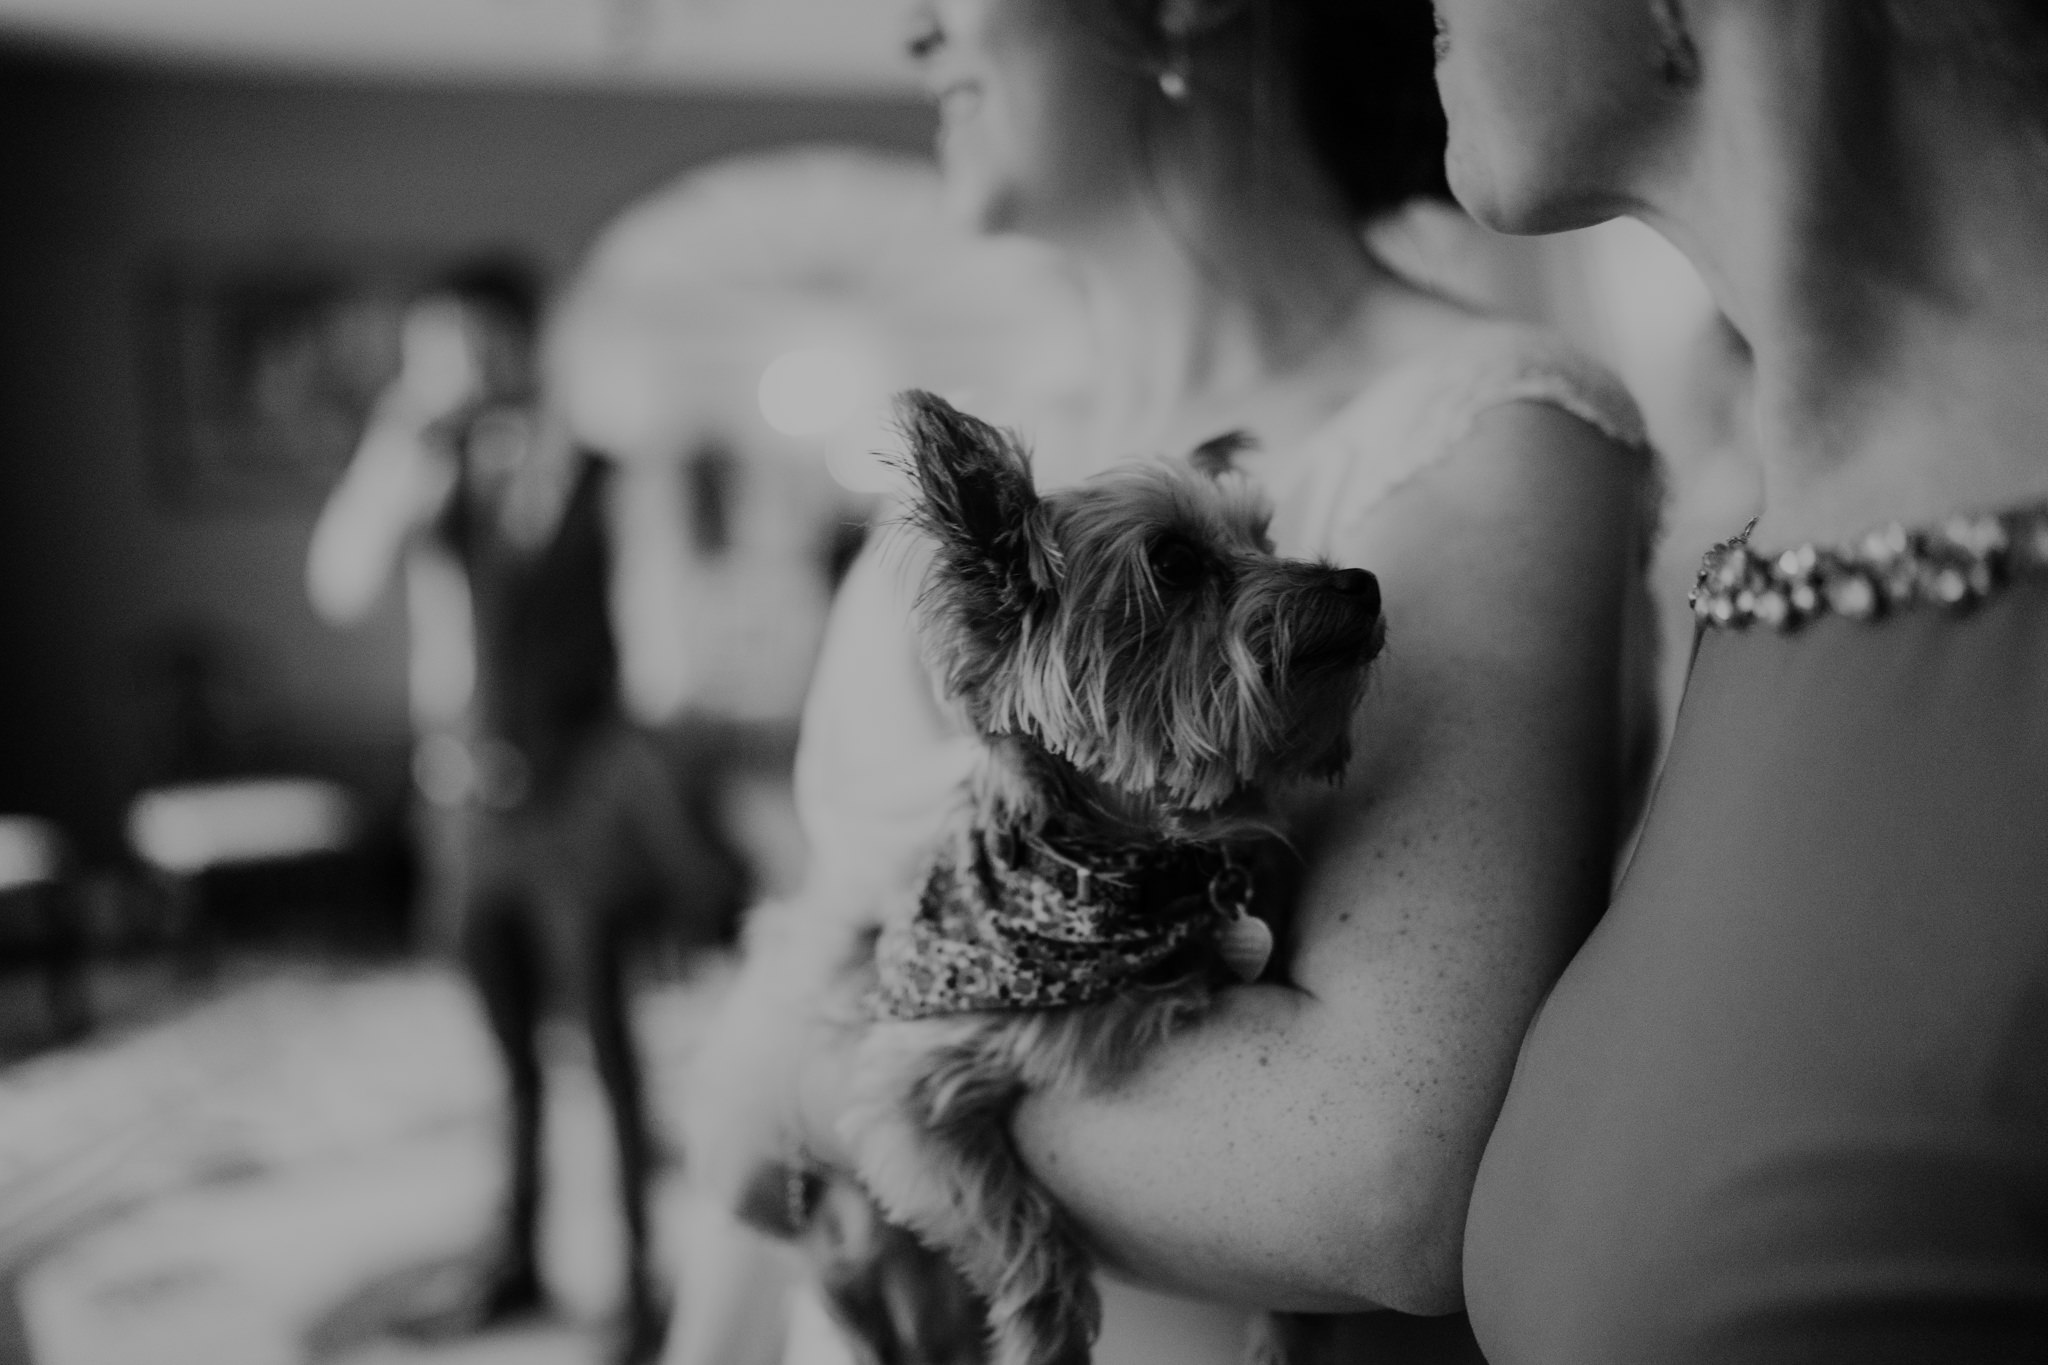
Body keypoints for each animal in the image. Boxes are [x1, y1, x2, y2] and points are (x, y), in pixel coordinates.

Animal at [811, 386, 1376, 1365]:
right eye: (1177, 561)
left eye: (1265, 536)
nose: (1364, 584)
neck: (1131, 870)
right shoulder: (903, 1094)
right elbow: (1014, 1222)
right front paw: (1047, 1333)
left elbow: (1295, 1283)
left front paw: (1286, 1340)